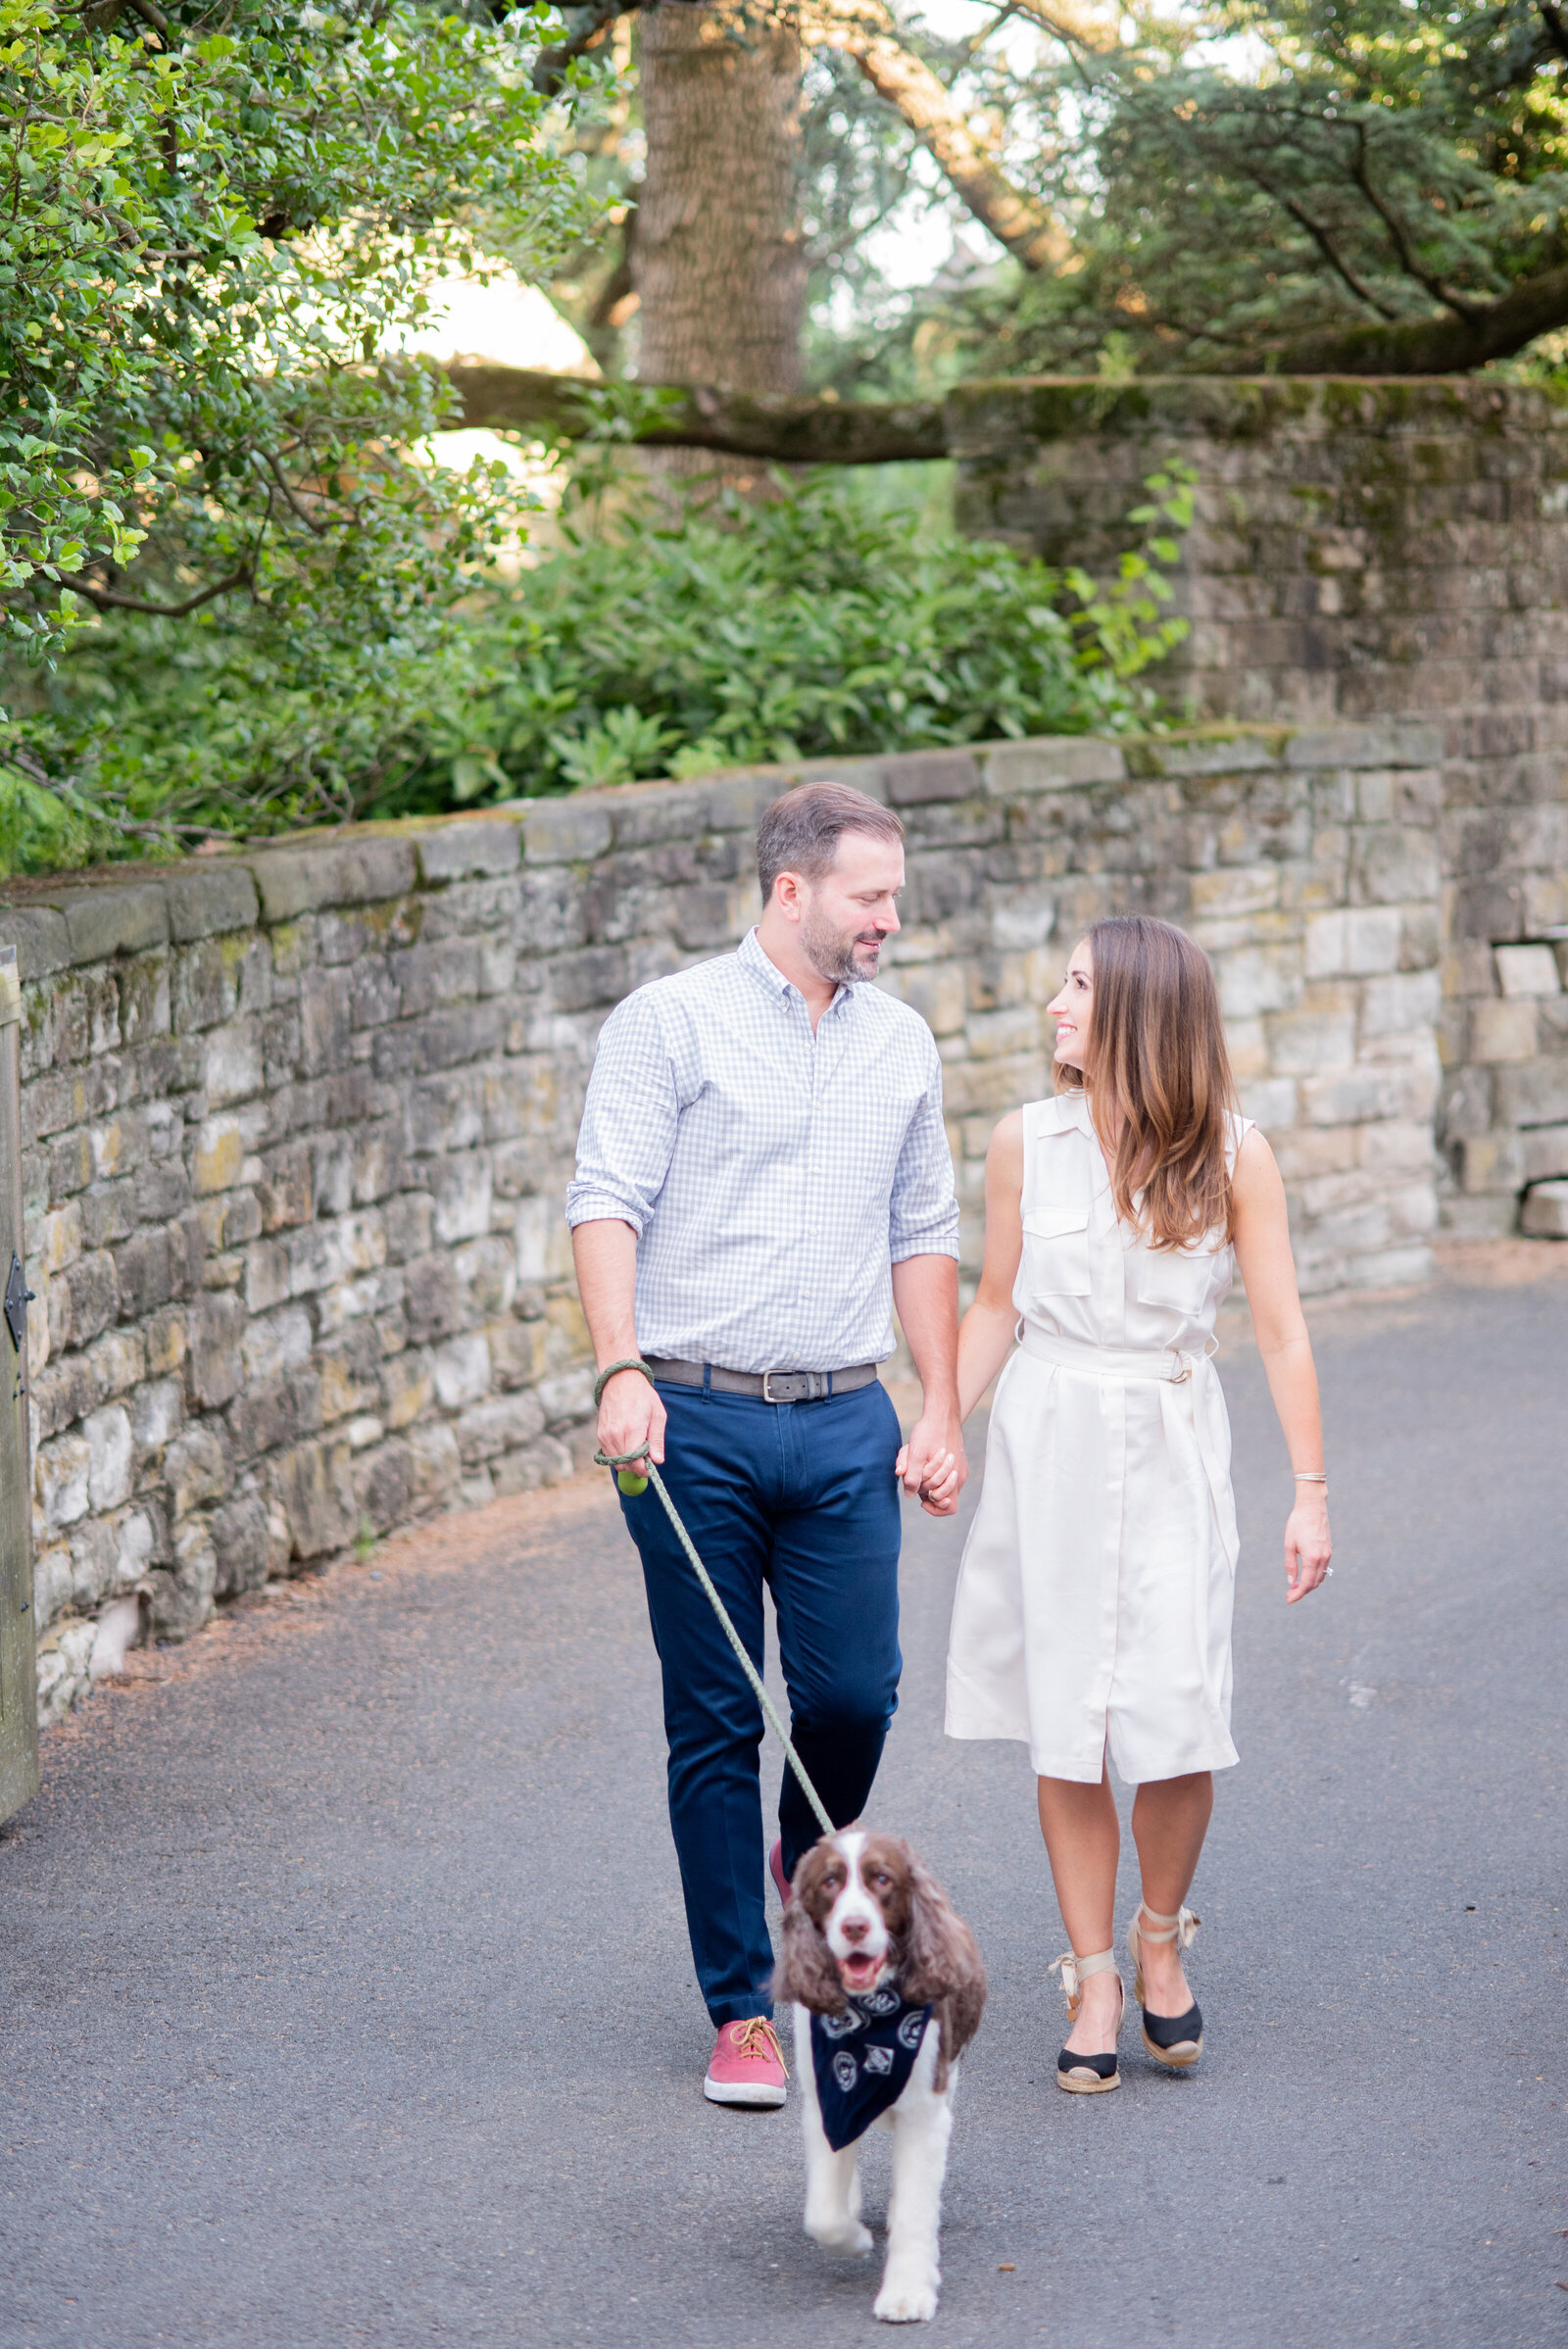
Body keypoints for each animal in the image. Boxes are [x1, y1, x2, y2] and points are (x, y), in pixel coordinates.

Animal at [769, 1832, 981, 2311]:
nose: (854, 1927)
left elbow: (915, 2207)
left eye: (882, 1879)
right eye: (829, 1882)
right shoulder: (827, 2098)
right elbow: (824, 2212)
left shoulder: (925, 2111)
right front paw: (854, 2240)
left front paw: (907, 2293)